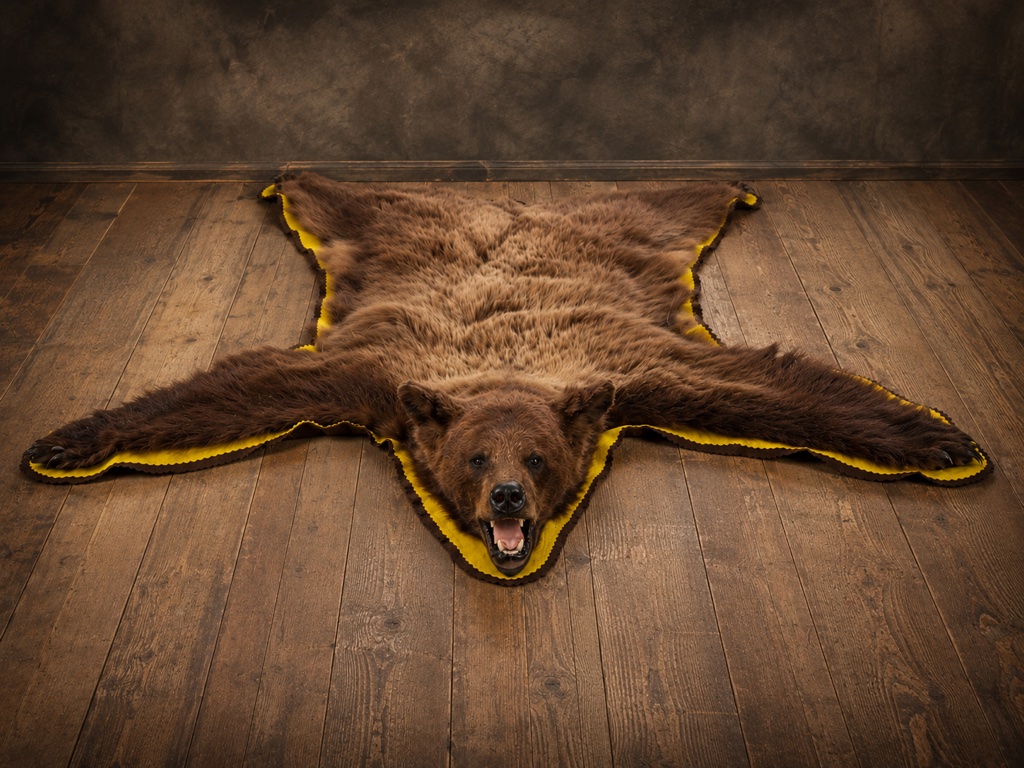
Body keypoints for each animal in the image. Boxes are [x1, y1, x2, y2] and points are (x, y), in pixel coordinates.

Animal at [22, 173, 988, 578]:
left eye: (536, 459)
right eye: (479, 461)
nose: (510, 499)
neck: (507, 370)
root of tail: (507, 202)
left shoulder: (631, 366)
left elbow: (766, 389)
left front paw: (940, 437)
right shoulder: (371, 373)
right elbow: (242, 388)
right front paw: (67, 441)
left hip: (625, 226)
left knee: (679, 197)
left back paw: (736, 182)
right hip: (388, 224)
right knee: (337, 197)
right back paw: (286, 174)